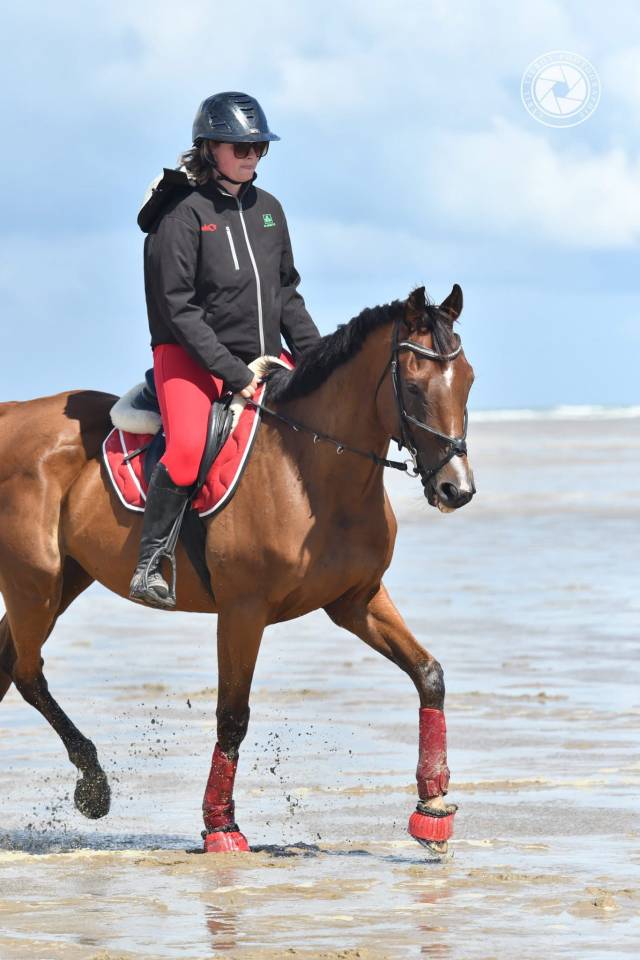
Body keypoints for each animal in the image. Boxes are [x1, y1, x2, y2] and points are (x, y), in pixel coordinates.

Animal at [0, 284, 475, 857]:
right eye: (413, 385)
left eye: (468, 379)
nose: (456, 488)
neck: (308, 470)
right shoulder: (243, 612)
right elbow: (232, 716)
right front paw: (221, 827)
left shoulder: (357, 600)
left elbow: (428, 675)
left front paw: (433, 809)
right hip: (34, 582)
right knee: (27, 673)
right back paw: (93, 787)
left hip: (62, 579)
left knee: (8, 664)